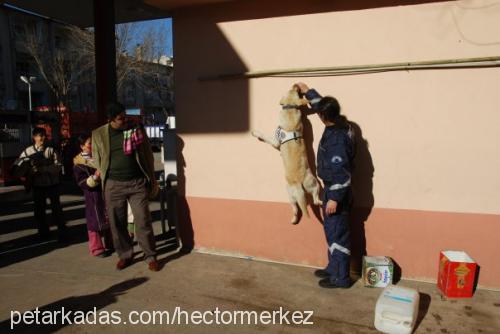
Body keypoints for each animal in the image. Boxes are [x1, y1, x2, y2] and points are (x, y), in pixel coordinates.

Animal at [252, 87, 322, 223]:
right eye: (292, 90)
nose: (296, 86)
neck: (290, 108)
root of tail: (298, 184)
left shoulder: (275, 141)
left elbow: (266, 136)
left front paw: (256, 133)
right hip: (308, 187)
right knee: (312, 202)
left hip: (295, 189)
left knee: (299, 206)